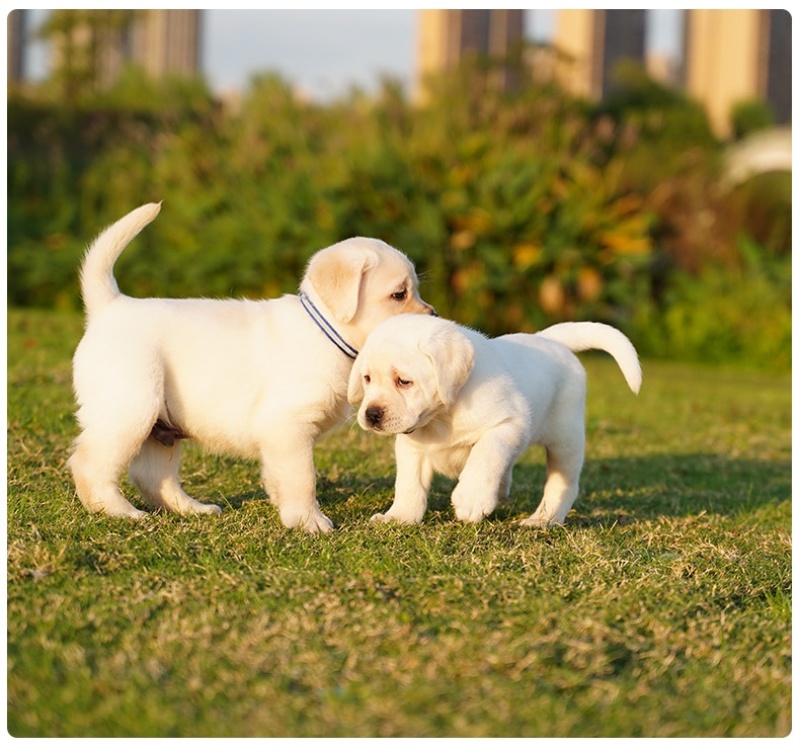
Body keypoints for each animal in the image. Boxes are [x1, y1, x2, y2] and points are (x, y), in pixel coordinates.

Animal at [69, 200, 434, 528]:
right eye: (399, 294)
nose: (433, 315)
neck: (325, 334)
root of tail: (110, 305)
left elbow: (280, 476)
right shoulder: (289, 428)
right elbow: (303, 477)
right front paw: (309, 521)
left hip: (161, 429)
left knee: (153, 477)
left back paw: (193, 509)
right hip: (130, 411)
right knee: (90, 464)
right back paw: (119, 511)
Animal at [346, 314, 640, 524]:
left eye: (404, 381)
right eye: (367, 378)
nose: (372, 414)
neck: (442, 415)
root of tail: (551, 341)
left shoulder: (508, 424)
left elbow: (485, 455)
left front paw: (472, 498)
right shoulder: (412, 448)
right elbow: (409, 484)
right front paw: (400, 517)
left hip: (565, 439)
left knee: (563, 484)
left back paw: (543, 519)